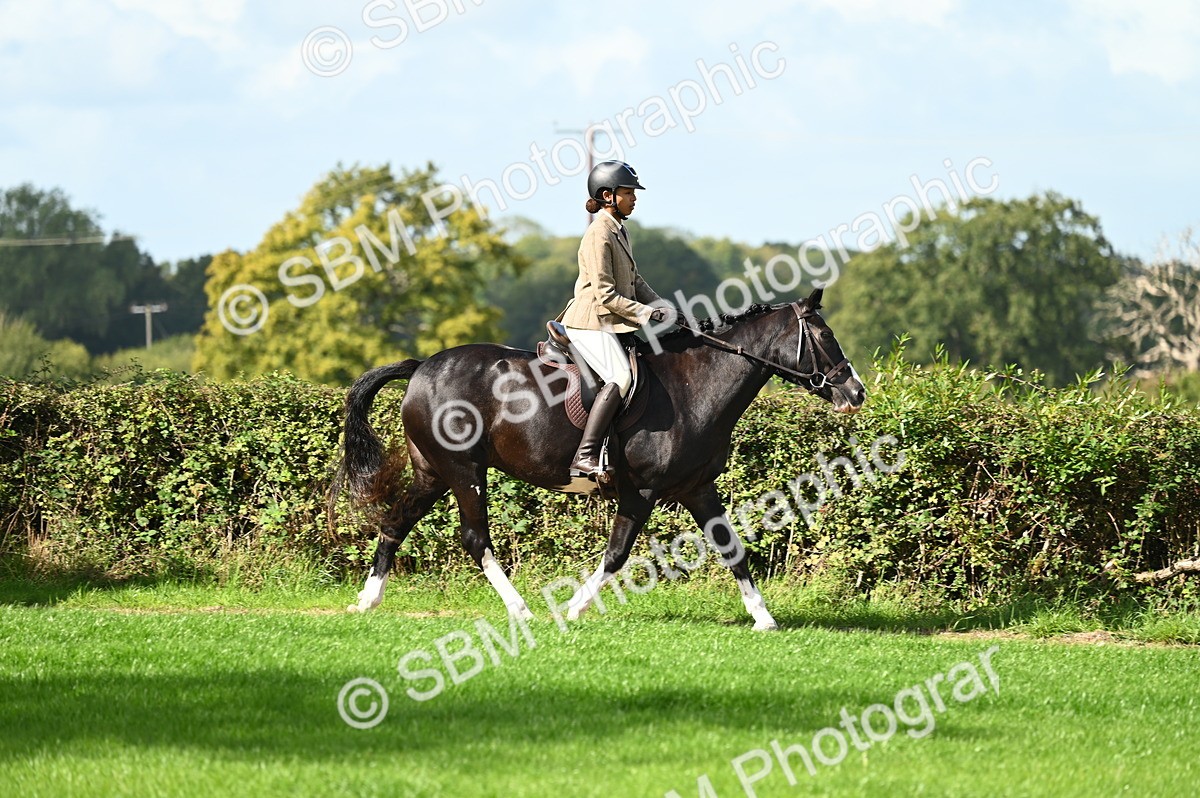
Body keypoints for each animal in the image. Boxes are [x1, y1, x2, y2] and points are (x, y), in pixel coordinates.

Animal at [332, 287, 866, 630]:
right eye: (824, 337)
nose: (856, 392)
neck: (695, 384)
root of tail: (422, 366)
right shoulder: (641, 489)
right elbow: (617, 554)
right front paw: (574, 608)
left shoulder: (697, 487)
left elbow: (731, 547)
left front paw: (764, 618)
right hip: (464, 471)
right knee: (474, 538)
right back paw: (521, 609)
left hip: (433, 472)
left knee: (396, 521)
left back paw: (368, 599)